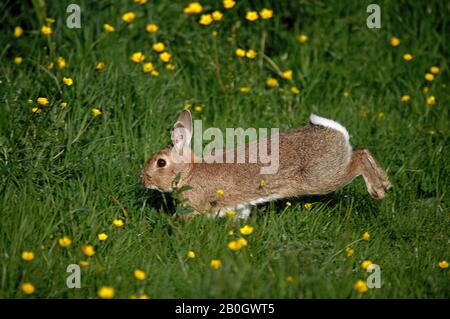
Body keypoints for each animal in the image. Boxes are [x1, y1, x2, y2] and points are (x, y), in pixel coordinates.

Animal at [141, 110, 390, 220]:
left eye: (160, 163)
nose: (142, 179)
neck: (188, 172)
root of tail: (336, 134)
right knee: (363, 152)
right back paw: (385, 183)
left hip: (323, 177)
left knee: (358, 160)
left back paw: (377, 190)